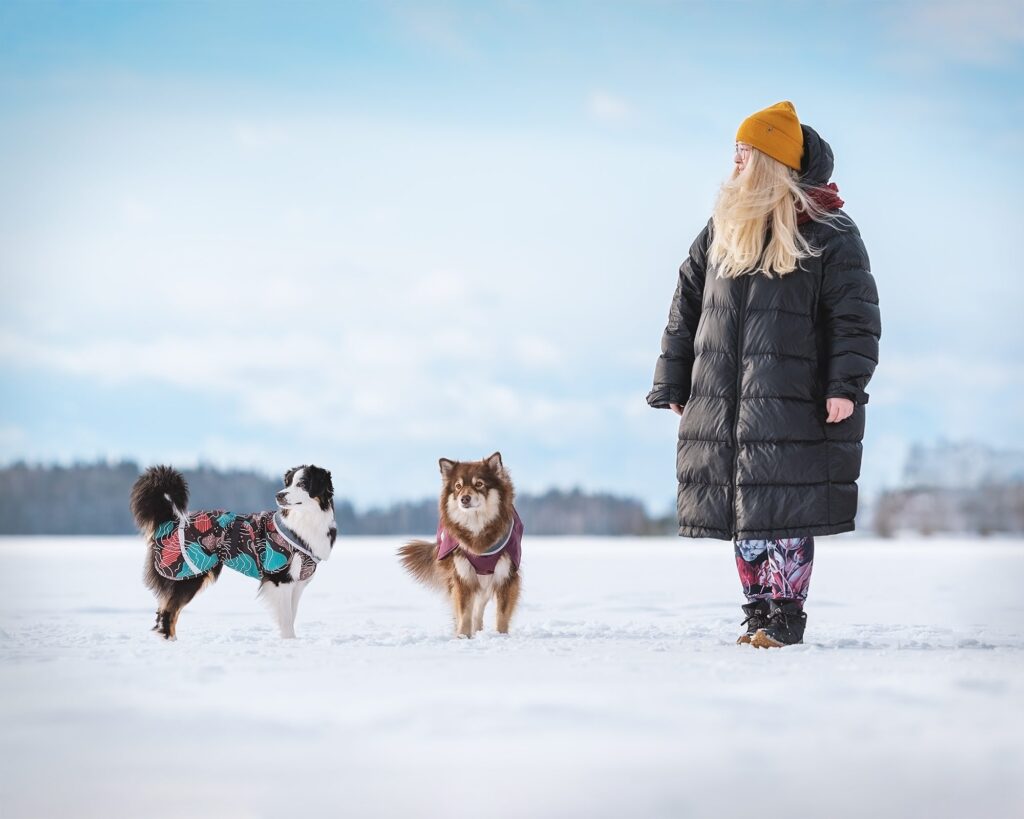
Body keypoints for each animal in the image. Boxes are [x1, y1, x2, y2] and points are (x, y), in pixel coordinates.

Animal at [130, 464, 337, 634]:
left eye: (302, 483)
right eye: (287, 483)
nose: (279, 495)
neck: (304, 521)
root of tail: (170, 519)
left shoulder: (296, 583)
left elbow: (290, 617)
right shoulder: (280, 578)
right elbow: (286, 621)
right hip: (188, 575)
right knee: (168, 614)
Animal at [399, 454, 524, 638]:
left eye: (479, 484)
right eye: (458, 486)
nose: (464, 499)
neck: (477, 527)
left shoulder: (506, 575)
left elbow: (501, 614)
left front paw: (501, 636)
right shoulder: (462, 575)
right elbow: (464, 613)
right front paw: (463, 637)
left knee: (479, 607)